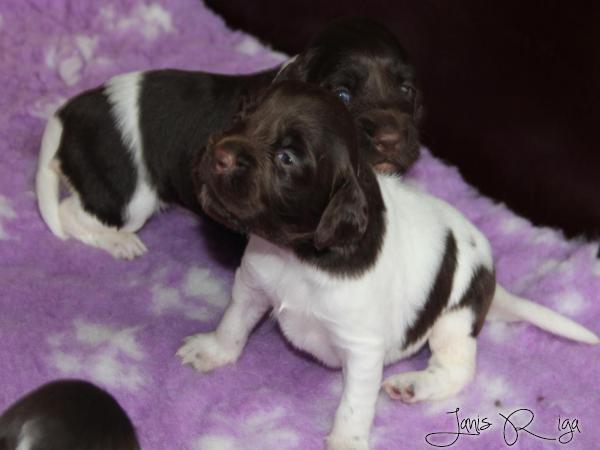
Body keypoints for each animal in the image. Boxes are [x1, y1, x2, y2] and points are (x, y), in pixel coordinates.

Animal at [35, 18, 421, 259]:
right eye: (342, 95)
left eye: (407, 89)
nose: (390, 138)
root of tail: (72, 110)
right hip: (128, 196)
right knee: (71, 214)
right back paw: (120, 243)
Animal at [176, 81, 599, 450]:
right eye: (241, 116)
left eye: (287, 157)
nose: (218, 154)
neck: (297, 255)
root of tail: (492, 277)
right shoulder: (251, 286)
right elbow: (234, 323)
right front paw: (212, 351)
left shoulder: (362, 348)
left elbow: (354, 405)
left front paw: (346, 442)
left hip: (454, 318)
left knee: (458, 367)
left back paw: (415, 385)